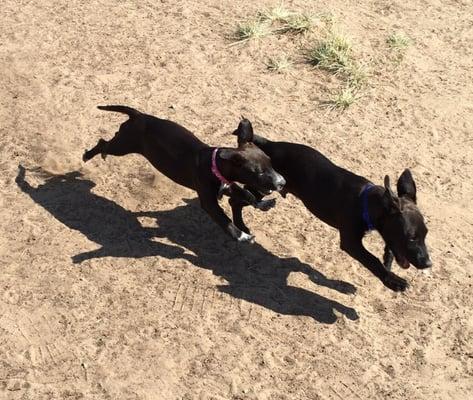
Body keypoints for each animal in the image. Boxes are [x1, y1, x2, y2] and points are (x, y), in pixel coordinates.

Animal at [82, 106, 284, 242]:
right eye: (258, 172)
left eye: (271, 163)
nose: (281, 182)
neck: (214, 165)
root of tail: (139, 115)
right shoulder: (209, 202)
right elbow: (224, 220)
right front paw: (242, 236)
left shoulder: (228, 185)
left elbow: (247, 194)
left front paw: (263, 204)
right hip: (123, 145)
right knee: (103, 143)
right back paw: (89, 155)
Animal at [230, 119, 430, 290]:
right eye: (411, 238)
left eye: (425, 235)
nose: (428, 263)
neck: (366, 201)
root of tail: (270, 144)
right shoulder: (350, 242)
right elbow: (371, 260)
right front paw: (393, 281)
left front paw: (388, 262)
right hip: (264, 186)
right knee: (237, 199)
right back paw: (240, 225)